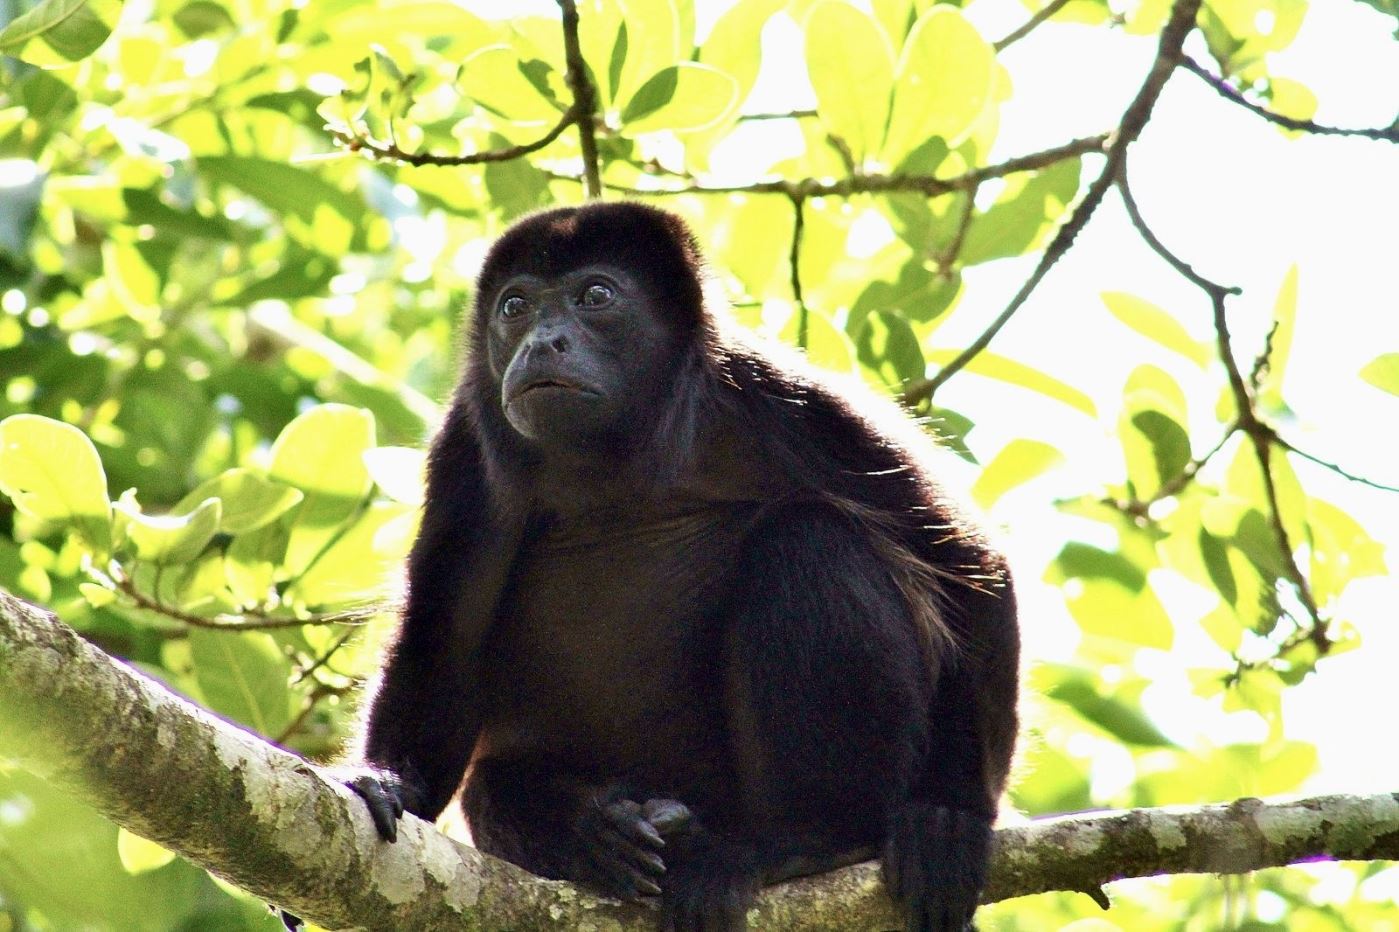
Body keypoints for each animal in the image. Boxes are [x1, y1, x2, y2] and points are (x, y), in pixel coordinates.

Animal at [334, 202, 1019, 932]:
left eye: (596, 296)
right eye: (514, 306)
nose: (541, 343)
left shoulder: (783, 400)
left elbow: (965, 566)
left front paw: (950, 815)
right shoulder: (465, 443)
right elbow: (447, 635)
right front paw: (388, 783)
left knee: (807, 539)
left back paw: (810, 841)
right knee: (492, 782)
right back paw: (603, 839)